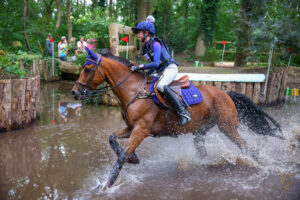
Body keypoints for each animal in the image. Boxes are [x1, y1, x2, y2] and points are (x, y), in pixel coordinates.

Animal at [71, 47, 282, 188]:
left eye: (87, 69)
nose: (74, 92)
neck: (133, 91)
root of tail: (225, 93)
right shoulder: (131, 128)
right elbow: (112, 139)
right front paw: (134, 158)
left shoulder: (141, 130)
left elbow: (121, 155)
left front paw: (108, 183)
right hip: (200, 132)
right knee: (203, 152)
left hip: (227, 127)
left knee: (245, 145)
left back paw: (259, 164)